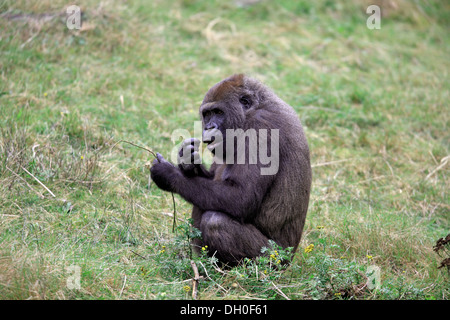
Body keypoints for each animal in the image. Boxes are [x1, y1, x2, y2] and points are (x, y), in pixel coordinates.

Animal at [149, 74, 312, 266]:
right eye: (207, 114)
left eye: (219, 112)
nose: (209, 127)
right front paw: (188, 159)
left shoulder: (261, 127)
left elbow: (241, 197)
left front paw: (169, 174)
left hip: (275, 259)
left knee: (215, 221)